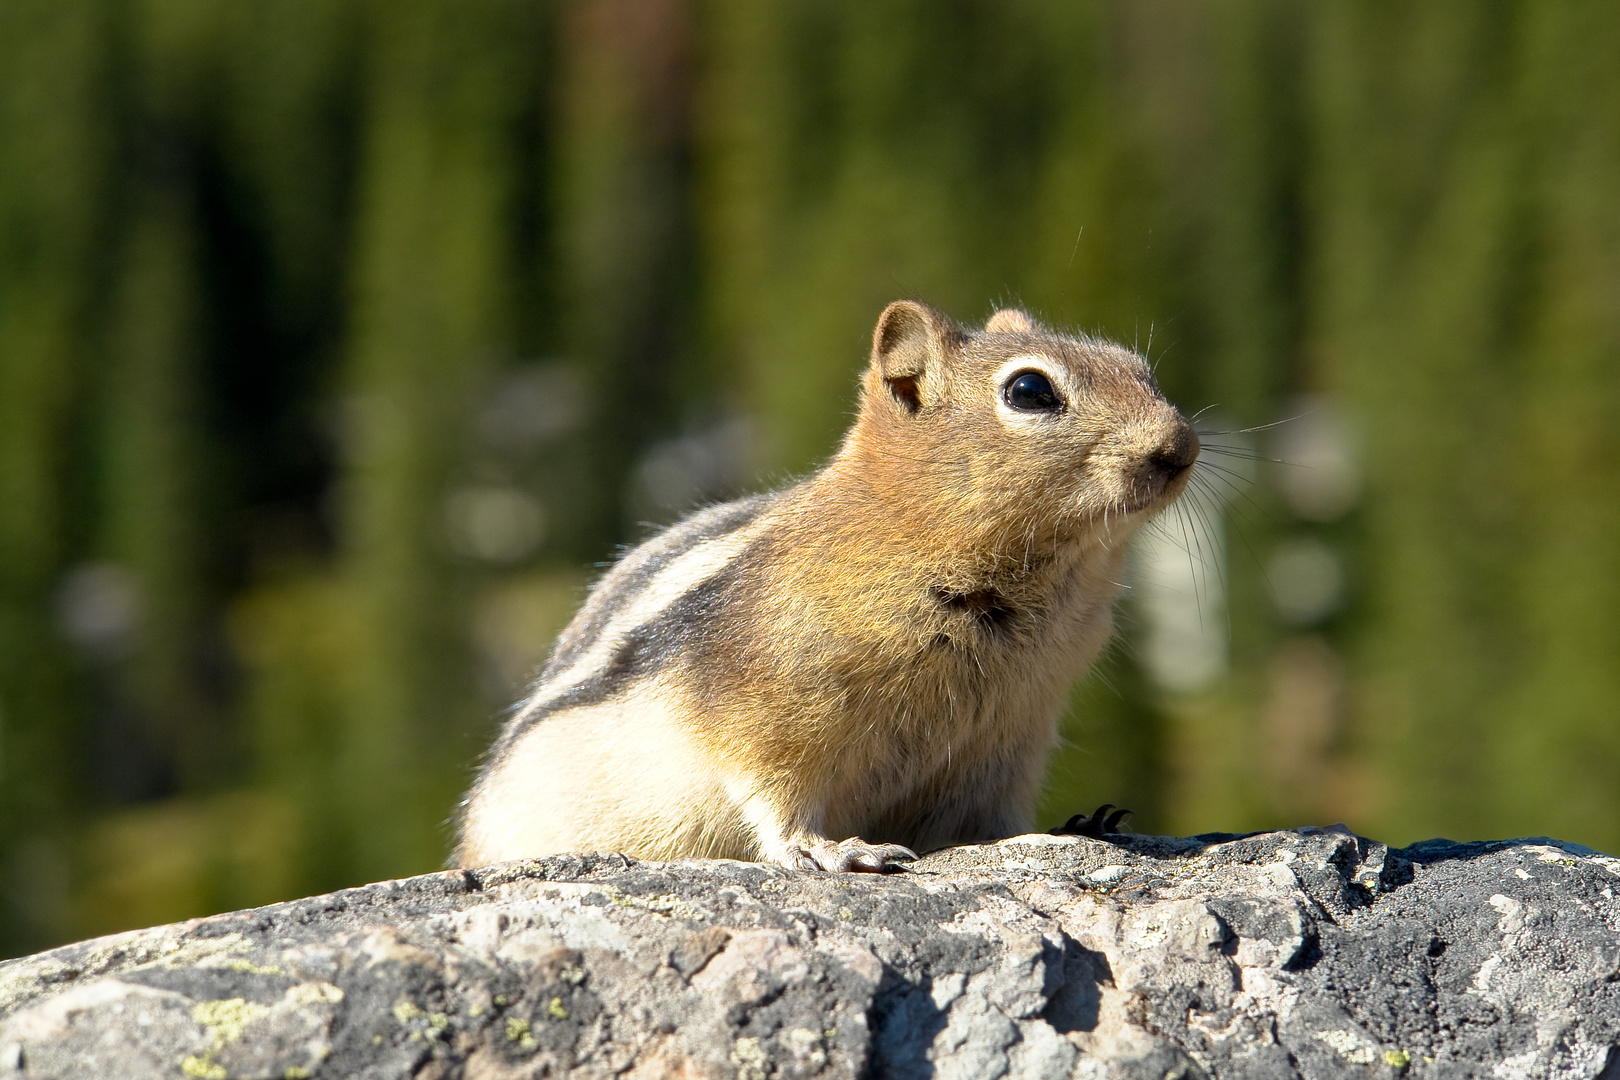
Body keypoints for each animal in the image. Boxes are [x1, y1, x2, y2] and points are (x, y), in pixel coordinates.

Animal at [453, 299, 1192, 874]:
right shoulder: (760, 713)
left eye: (1139, 367)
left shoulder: (1010, 741)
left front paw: (1075, 826)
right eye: (1030, 392)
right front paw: (832, 849)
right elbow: (773, 801)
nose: (1180, 446)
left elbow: (997, 822)